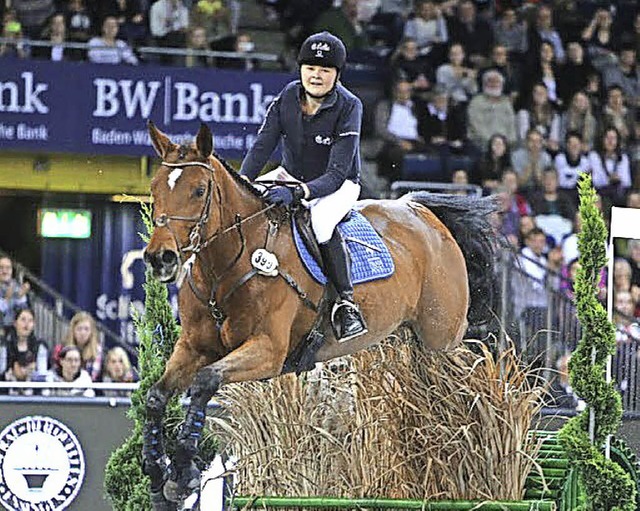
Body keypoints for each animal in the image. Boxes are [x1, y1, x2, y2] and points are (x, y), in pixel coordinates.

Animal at [140, 122, 500, 510]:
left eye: (199, 190)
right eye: (155, 188)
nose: (160, 258)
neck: (225, 266)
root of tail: (420, 210)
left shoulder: (268, 351)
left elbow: (205, 381)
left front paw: (183, 471)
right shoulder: (194, 348)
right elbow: (156, 397)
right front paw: (159, 476)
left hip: (442, 336)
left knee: (470, 362)